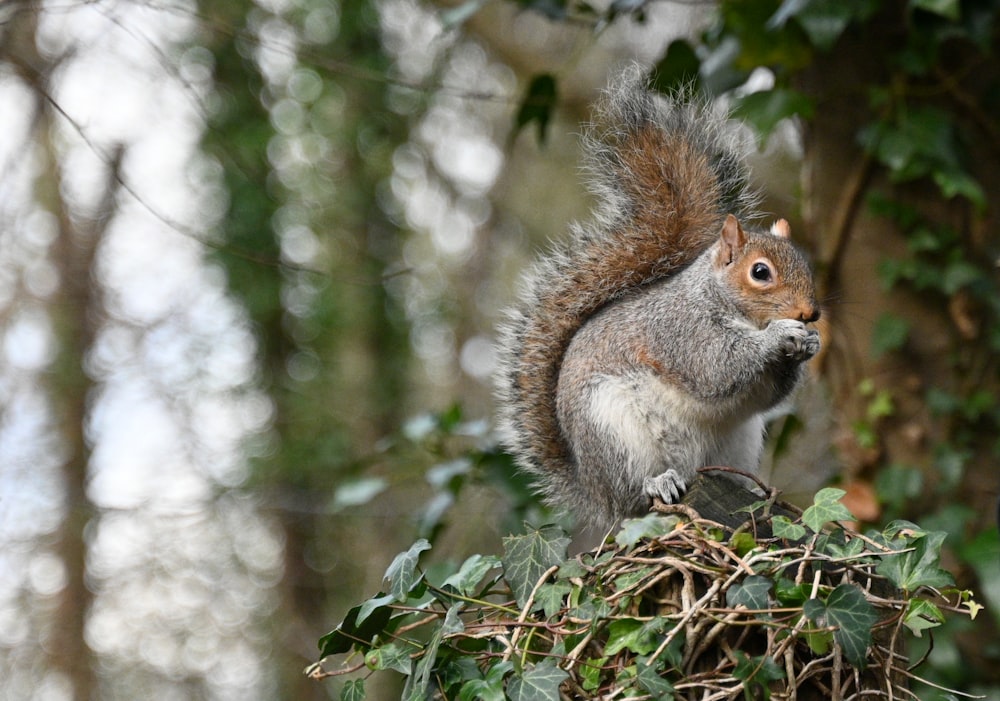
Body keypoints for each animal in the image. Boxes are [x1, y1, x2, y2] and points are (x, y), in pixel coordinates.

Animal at [494, 65, 820, 528]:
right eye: (760, 272)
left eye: (806, 265)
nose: (811, 312)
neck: (720, 299)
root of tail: (592, 491)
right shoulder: (680, 330)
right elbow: (717, 366)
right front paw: (780, 336)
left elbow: (768, 393)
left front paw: (808, 343)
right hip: (614, 434)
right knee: (633, 496)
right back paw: (657, 483)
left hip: (737, 443)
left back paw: (753, 491)